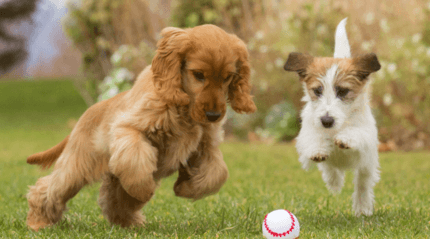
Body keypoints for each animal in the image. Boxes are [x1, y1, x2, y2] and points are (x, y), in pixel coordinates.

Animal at [26, 23, 255, 230]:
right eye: (198, 74)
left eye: (227, 77)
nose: (214, 116)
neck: (184, 109)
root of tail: (89, 111)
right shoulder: (129, 129)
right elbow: (135, 161)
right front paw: (146, 189)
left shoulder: (207, 146)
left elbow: (218, 173)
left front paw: (185, 188)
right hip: (78, 165)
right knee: (49, 188)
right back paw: (38, 222)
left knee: (112, 198)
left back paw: (129, 223)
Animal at [286, 19, 380, 217]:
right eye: (317, 91)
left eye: (343, 91)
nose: (327, 121)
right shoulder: (307, 130)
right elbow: (313, 138)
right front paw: (318, 148)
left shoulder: (367, 136)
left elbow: (357, 133)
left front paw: (345, 138)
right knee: (330, 168)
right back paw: (334, 181)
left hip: (367, 165)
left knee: (363, 183)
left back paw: (362, 207)